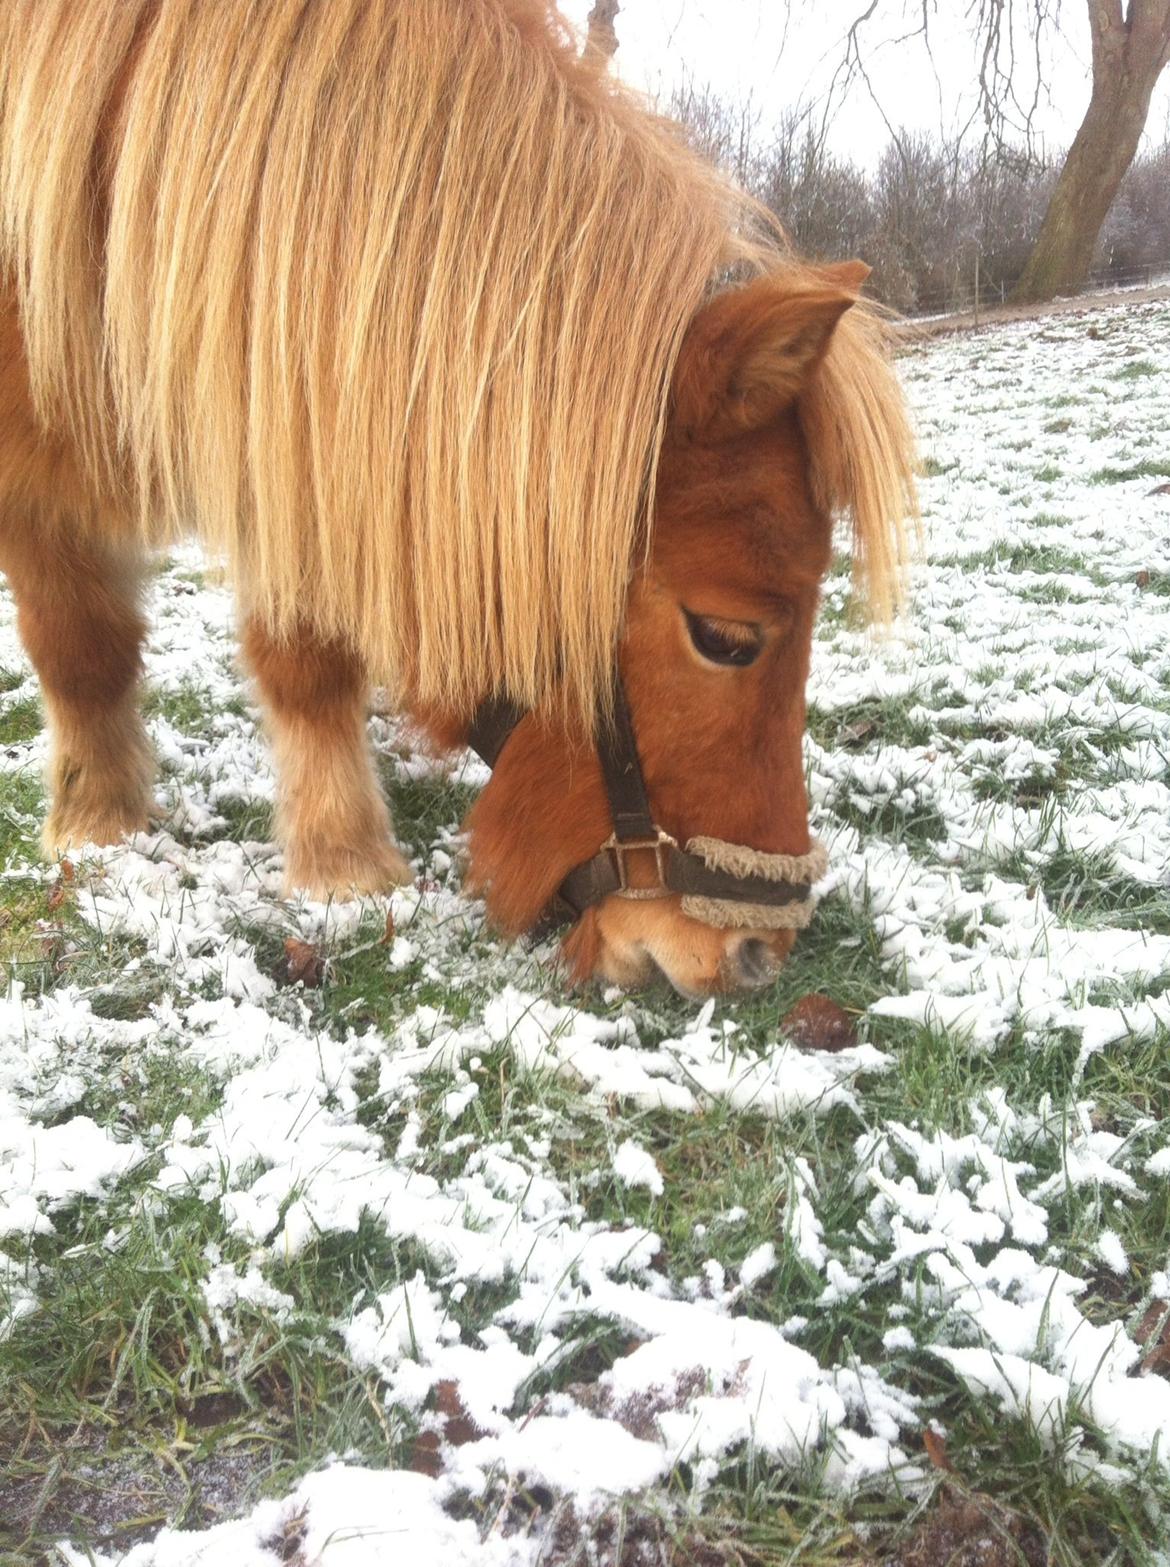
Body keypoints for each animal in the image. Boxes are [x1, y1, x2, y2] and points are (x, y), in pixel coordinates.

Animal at [0, 0, 914, 996]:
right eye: (725, 638)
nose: (759, 952)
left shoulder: (291, 428)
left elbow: (308, 653)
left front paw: (337, 857)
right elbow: (81, 648)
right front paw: (104, 825)